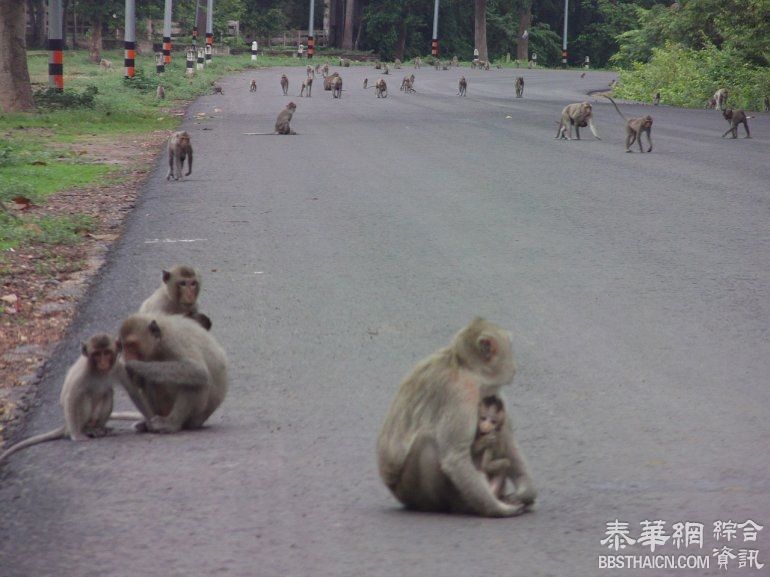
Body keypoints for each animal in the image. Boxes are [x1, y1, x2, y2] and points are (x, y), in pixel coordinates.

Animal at [376, 318, 536, 516]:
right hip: (409, 490)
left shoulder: (492, 393)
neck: (467, 369)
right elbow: (455, 456)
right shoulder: (462, 393)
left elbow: (506, 440)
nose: (514, 367)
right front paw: (498, 509)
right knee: (426, 443)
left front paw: (526, 491)